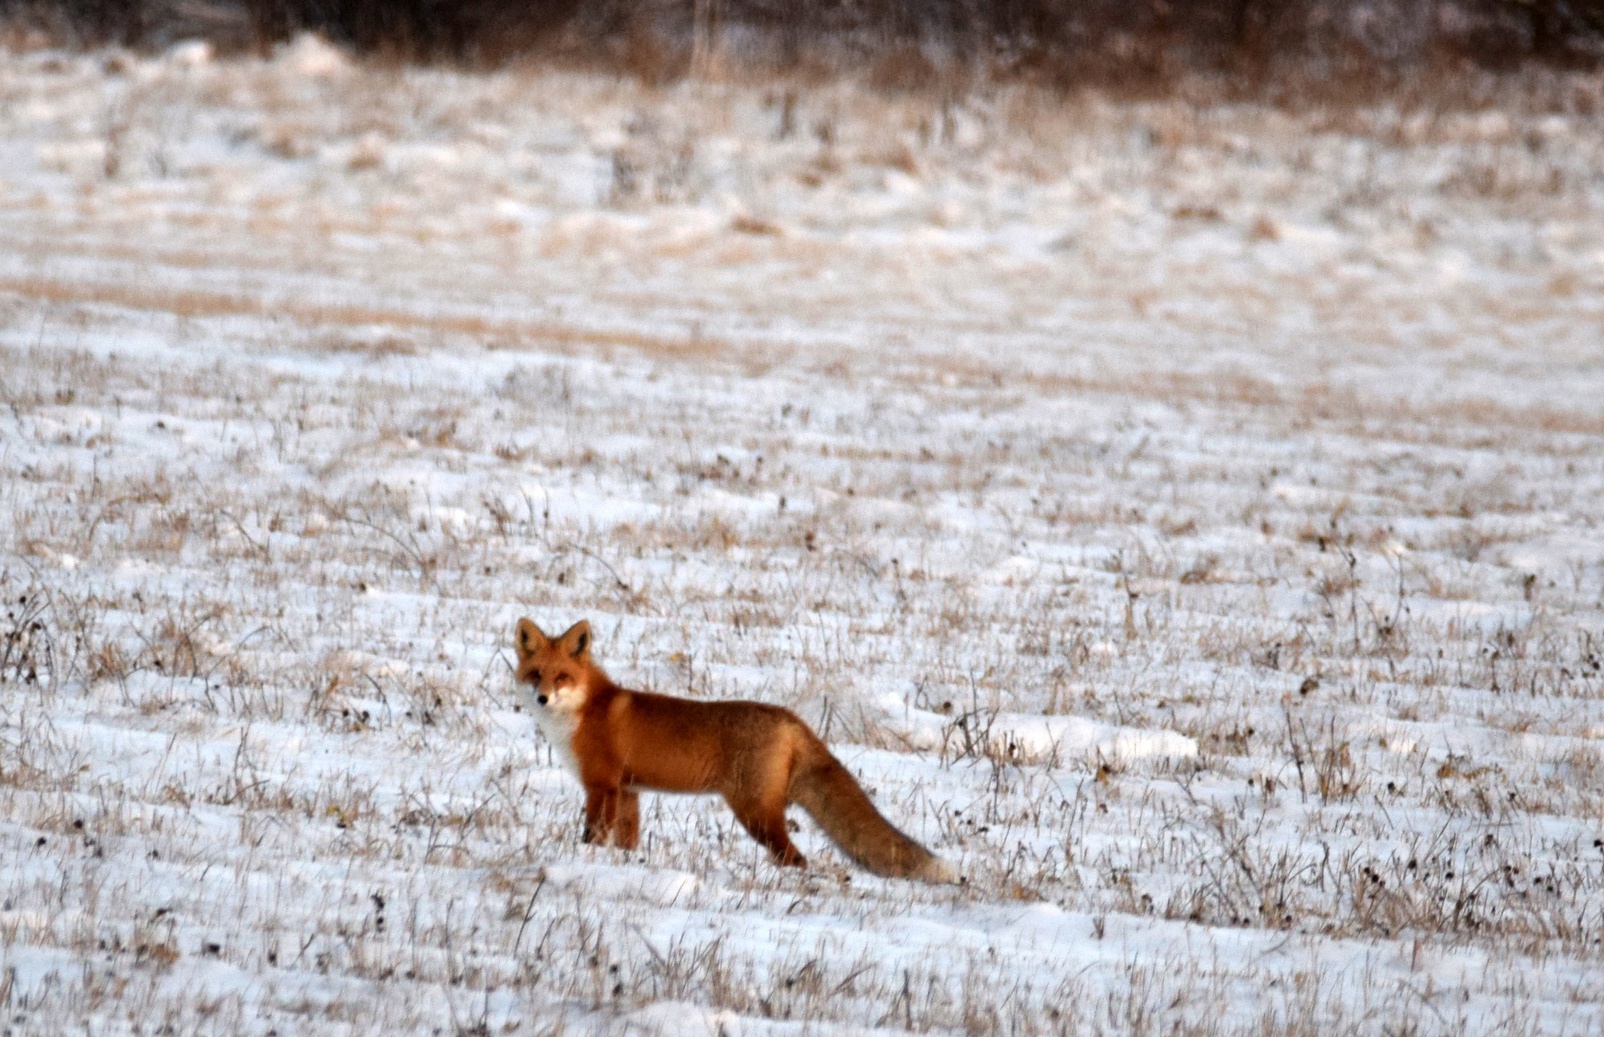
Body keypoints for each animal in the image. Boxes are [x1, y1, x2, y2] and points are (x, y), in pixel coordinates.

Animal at [516, 615, 949, 884]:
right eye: (536, 674)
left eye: (562, 677)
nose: (541, 699)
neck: (585, 711)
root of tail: (790, 717)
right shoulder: (629, 791)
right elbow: (628, 842)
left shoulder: (601, 786)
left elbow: (592, 836)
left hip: (754, 812)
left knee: (795, 858)